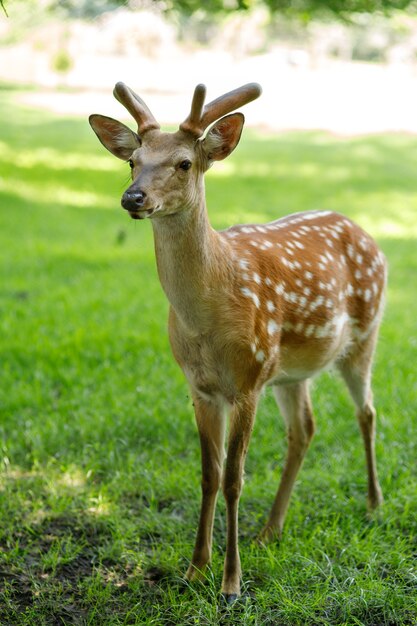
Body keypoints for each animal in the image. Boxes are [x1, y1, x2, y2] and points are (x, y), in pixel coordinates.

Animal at [89, 80, 386, 604]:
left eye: (184, 163)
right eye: (133, 160)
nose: (133, 197)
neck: (208, 316)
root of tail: (367, 233)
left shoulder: (247, 382)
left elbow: (233, 479)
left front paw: (231, 583)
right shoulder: (201, 387)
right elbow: (208, 475)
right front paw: (194, 570)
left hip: (363, 335)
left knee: (367, 412)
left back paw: (372, 503)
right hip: (290, 371)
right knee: (304, 429)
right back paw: (271, 530)